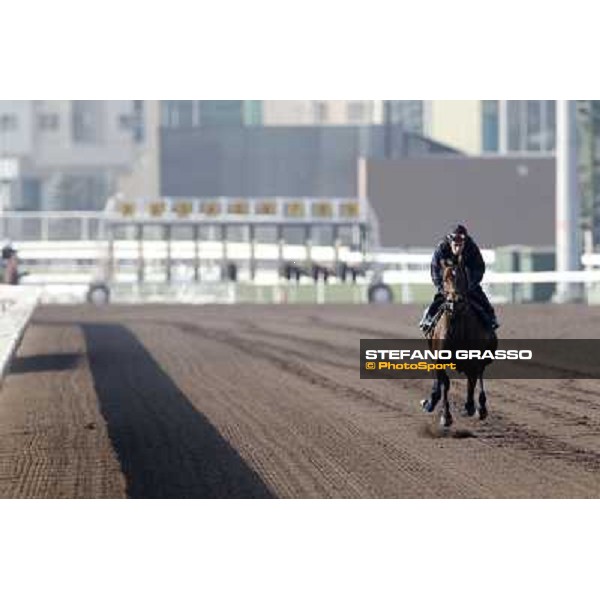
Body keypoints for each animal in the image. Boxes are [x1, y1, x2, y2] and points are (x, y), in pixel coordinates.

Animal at [418, 255, 496, 428]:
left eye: (461, 277)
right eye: (445, 279)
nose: (454, 301)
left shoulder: (474, 360)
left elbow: (472, 380)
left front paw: (470, 407)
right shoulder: (439, 359)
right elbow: (445, 383)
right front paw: (446, 416)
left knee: (479, 376)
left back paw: (481, 407)